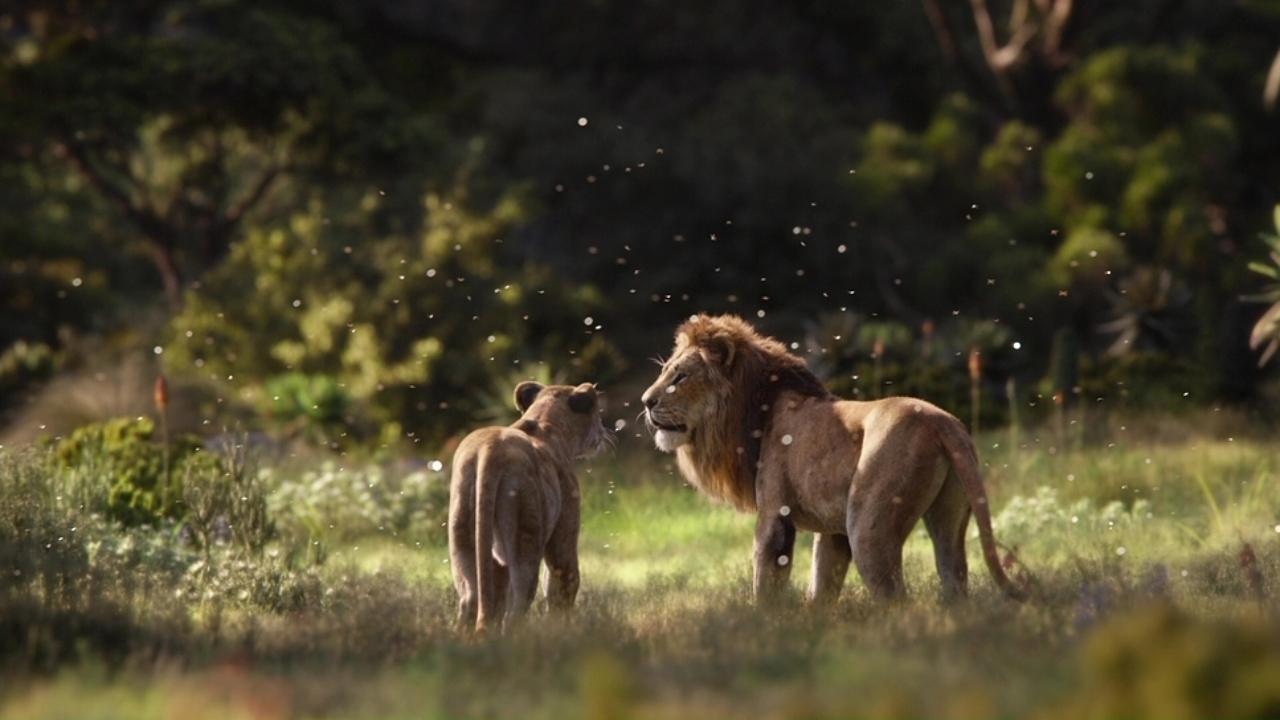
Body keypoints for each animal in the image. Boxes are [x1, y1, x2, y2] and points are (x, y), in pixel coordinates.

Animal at [450, 381, 609, 627]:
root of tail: (490, 450)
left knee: (474, 602)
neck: (547, 422)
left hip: (464, 537)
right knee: (516, 609)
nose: (603, 432)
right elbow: (562, 589)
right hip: (526, 537)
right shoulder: (563, 535)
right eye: (597, 412)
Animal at [645, 313, 1024, 599]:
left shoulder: (775, 513)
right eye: (664, 370)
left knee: (897, 598)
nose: (646, 402)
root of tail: (942, 423)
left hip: (868, 526)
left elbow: (766, 585)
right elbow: (821, 589)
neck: (754, 406)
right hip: (949, 517)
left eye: (680, 376)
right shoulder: (832, 531)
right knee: (954, 579)